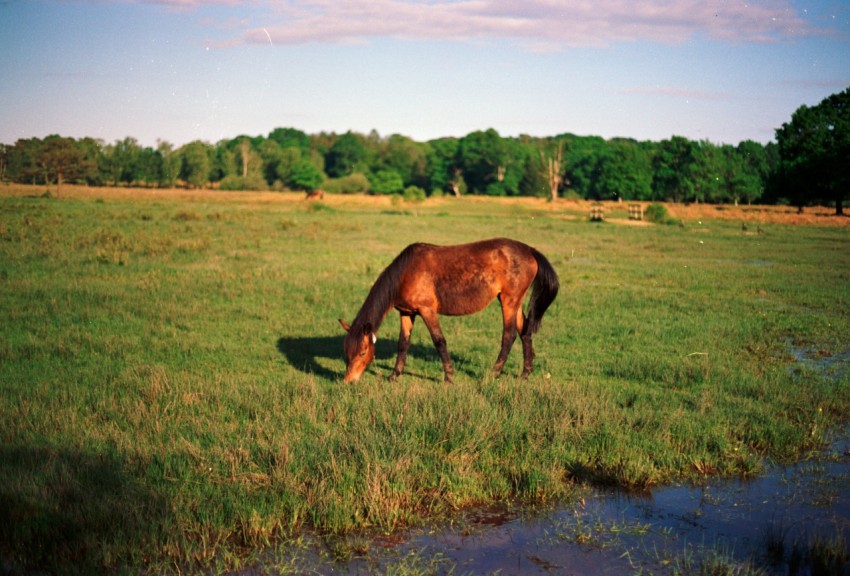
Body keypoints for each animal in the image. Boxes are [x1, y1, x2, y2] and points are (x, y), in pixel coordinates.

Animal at [339, 238, 559, 383]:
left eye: (363, 352)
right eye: (346, 350)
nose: (349, 380)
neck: (406, 272)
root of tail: (529, 250)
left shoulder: (427, 310)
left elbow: (439, 341)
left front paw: (449, 377)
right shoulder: (407, 312)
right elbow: (403, 344)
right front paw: (394, 375)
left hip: (509, 302)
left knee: (509, 336)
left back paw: (494, 373)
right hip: (515, 302)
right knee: (525, 333)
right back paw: (525, 373)